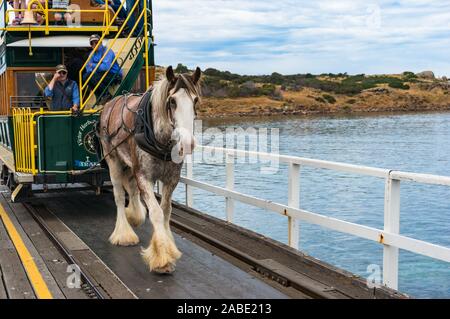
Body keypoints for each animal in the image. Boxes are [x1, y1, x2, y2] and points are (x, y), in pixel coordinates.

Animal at [100, 66, 204, 274]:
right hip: (113, 160)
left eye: (195, 100)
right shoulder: (144, 176)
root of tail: (110, 104)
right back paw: (124, 234)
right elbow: (156, 212)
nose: (187, 144)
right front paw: (162, 258)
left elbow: (166, 210)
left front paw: (168, 247)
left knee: (131, 190)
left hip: (130, 165)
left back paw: (134, 216)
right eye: (172, 101)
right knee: (118, 195)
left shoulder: (171, 179)